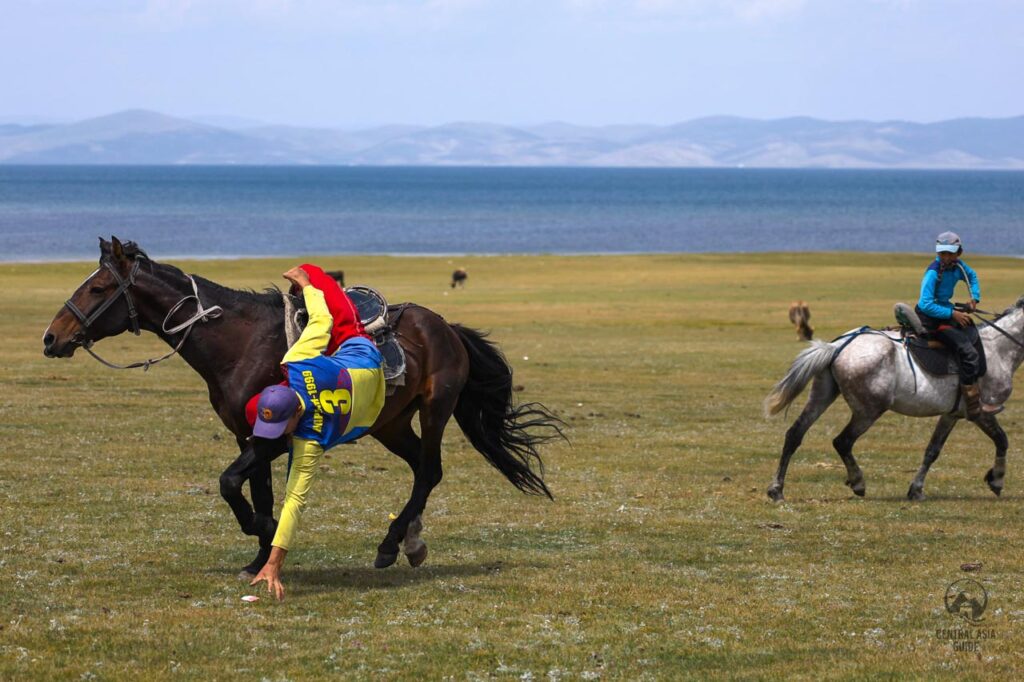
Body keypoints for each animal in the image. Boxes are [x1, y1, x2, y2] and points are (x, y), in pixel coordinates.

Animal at [44, 238, 565, 573]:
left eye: (97, 288)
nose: (52, 338)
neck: (242, 344)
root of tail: (446, 327)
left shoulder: (275, 435)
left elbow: (232, 485)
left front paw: (267, 528)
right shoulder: (246, 434)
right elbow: (254, 489)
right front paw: (259, 556)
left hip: (435, 408)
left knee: (430, 471)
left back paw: (391, 544)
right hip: (391, 424)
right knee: (422, 468)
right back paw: (408, 542)